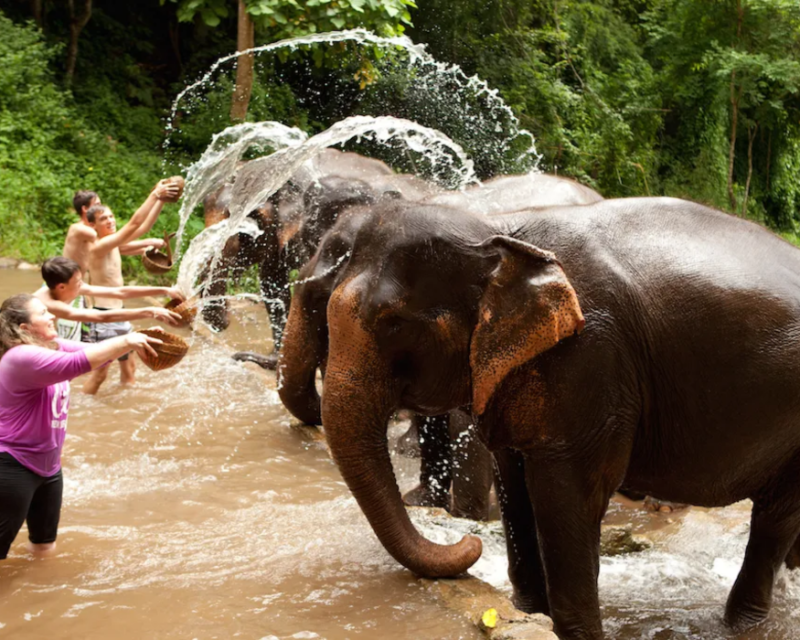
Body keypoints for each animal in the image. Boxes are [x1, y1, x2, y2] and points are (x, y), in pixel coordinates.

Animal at [296, 194, 800, 639]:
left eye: (394, 323)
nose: (469, 545)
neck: (497, 228)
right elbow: (513, 481)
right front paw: (528, 612)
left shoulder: (590, 359)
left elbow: (566, 494)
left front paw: (576, 633)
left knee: (773, 517)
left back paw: (741, 625)